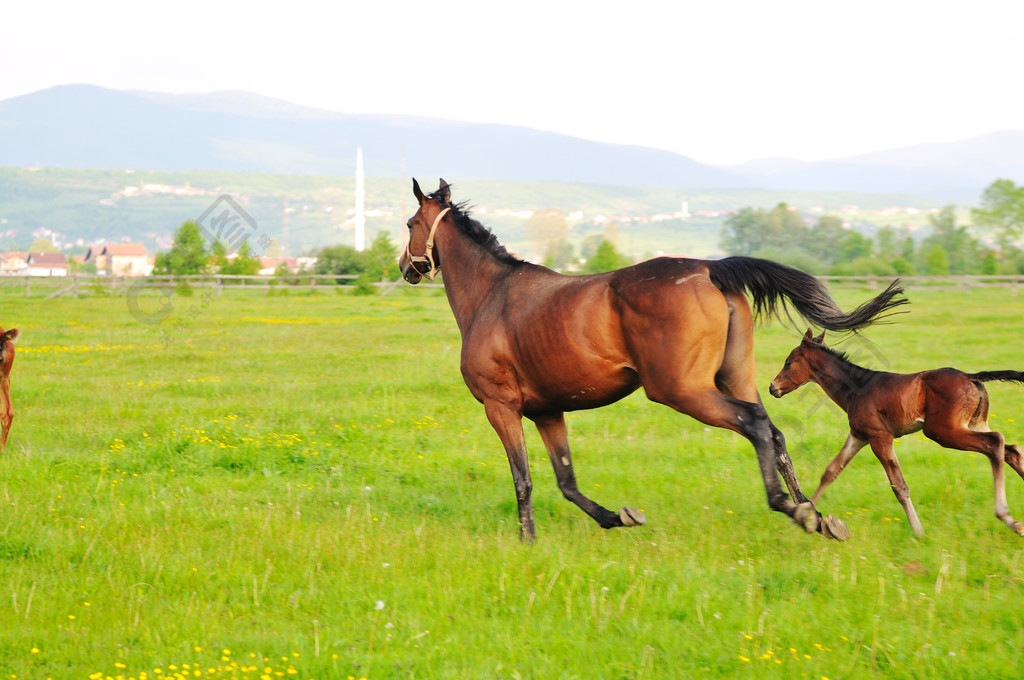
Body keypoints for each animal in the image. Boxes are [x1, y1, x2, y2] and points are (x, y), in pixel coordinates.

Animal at [399, 179, 905, 540]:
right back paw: (814, 514)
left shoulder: (501, 407)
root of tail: (710, 268)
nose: (405, 267)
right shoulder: (547, 411)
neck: (491, 295)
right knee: (773, 430)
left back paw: (791, 508)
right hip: (737, 378)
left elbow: (522, 479)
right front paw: (617, 517)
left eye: (408, 224)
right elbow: (566, 481)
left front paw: (527, 540)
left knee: (755, 425)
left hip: (681, 390)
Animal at [770, 329, 1024, 536]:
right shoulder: (859, 435)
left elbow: (899, 486)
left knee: (995, 442)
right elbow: (831, 471)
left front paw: (918, 531)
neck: (857, 388)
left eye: (789, 362)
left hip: (943, 431)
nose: (773, 388)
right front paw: (802, 518)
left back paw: (1008, 518)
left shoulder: (880, 438)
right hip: (975, 423)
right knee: (1011, 450)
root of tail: (971, 377)